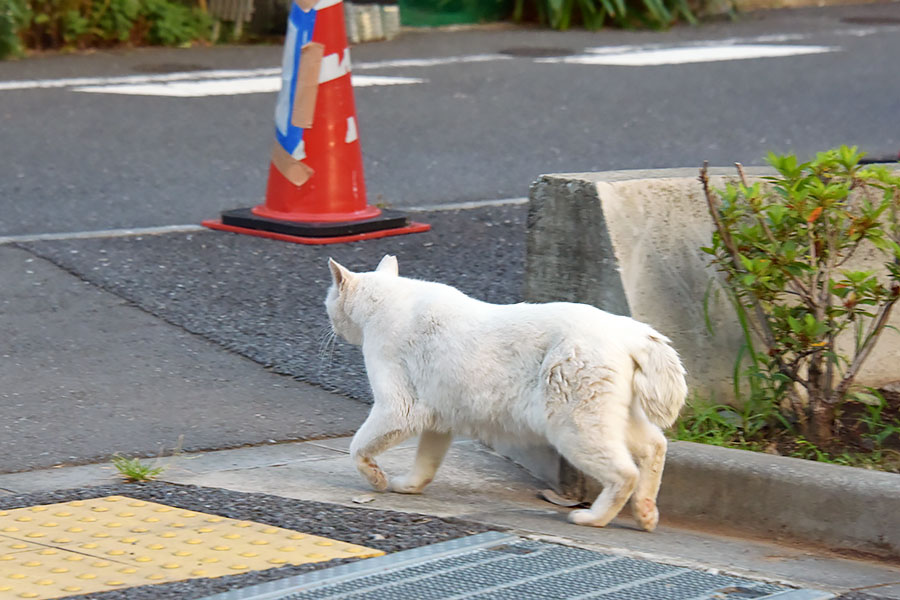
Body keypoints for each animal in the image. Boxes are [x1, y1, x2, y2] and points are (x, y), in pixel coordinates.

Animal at [326, 253, 684, 528]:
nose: (330, 325)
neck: (387, 299)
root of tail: (630, 330)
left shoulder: (399, 404)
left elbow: (359, 446)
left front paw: (376, 478)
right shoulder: (440, 412)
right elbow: (427, 459)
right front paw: (409, 485)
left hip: (575, 421)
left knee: (624, 472)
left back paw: (594, 517)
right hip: (611, 413)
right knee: (655, 445)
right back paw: (645, 511)